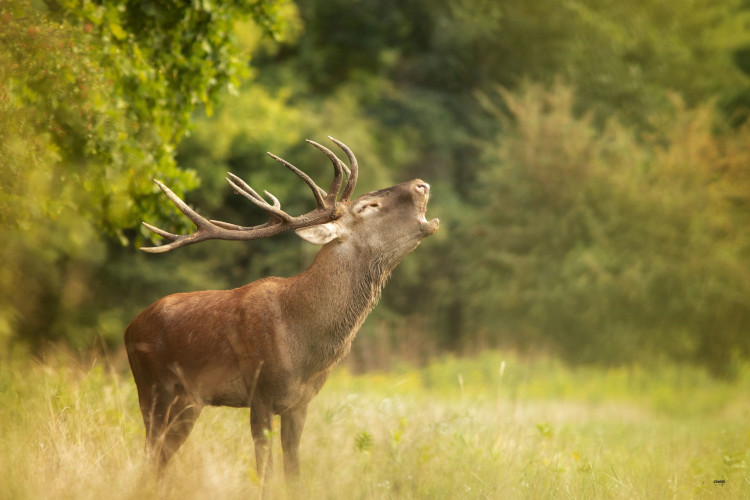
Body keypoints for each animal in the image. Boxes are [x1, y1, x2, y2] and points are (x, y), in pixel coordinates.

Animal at [124, 137, 440, 488]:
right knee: (150, 451)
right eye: (367, 206)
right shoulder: (260, 393)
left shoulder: (299, 405)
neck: (303, 344)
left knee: (161, 456)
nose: (421, 184)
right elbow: (264, 473)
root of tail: (130, 327)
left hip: (190, 400)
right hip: (151, 385)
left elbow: (293, 472)